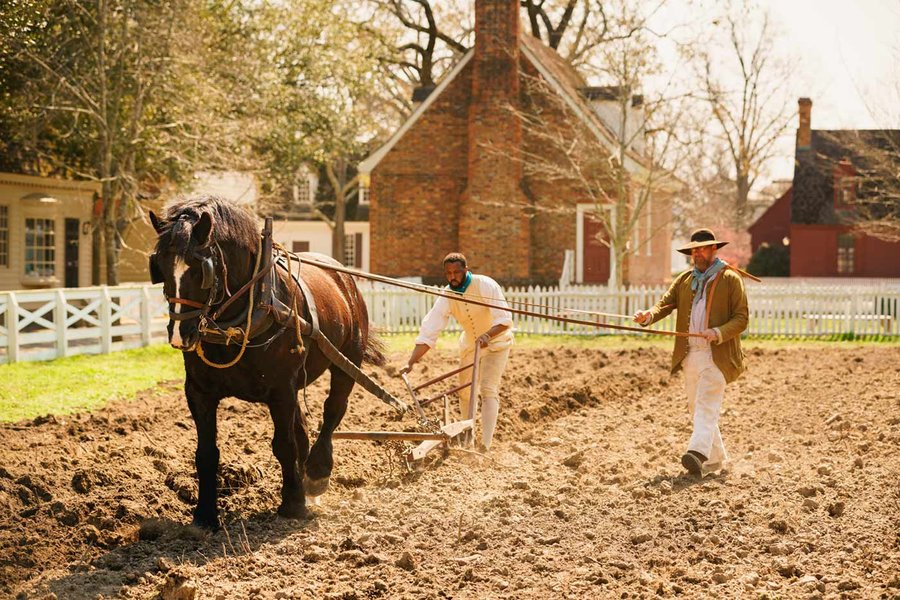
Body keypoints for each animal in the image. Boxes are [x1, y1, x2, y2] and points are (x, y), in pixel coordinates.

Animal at [149, 195, 382, 528]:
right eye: (160, 266)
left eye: (199, 268)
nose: (181, 334)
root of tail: (342, 276)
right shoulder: (199, 392)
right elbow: (206, 453)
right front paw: (205, 515)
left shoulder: (281, 389)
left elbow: (284, 445)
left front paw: (293, 504)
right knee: (303, 429)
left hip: (347, 360)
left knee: (332, 410)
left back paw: (316, 473)